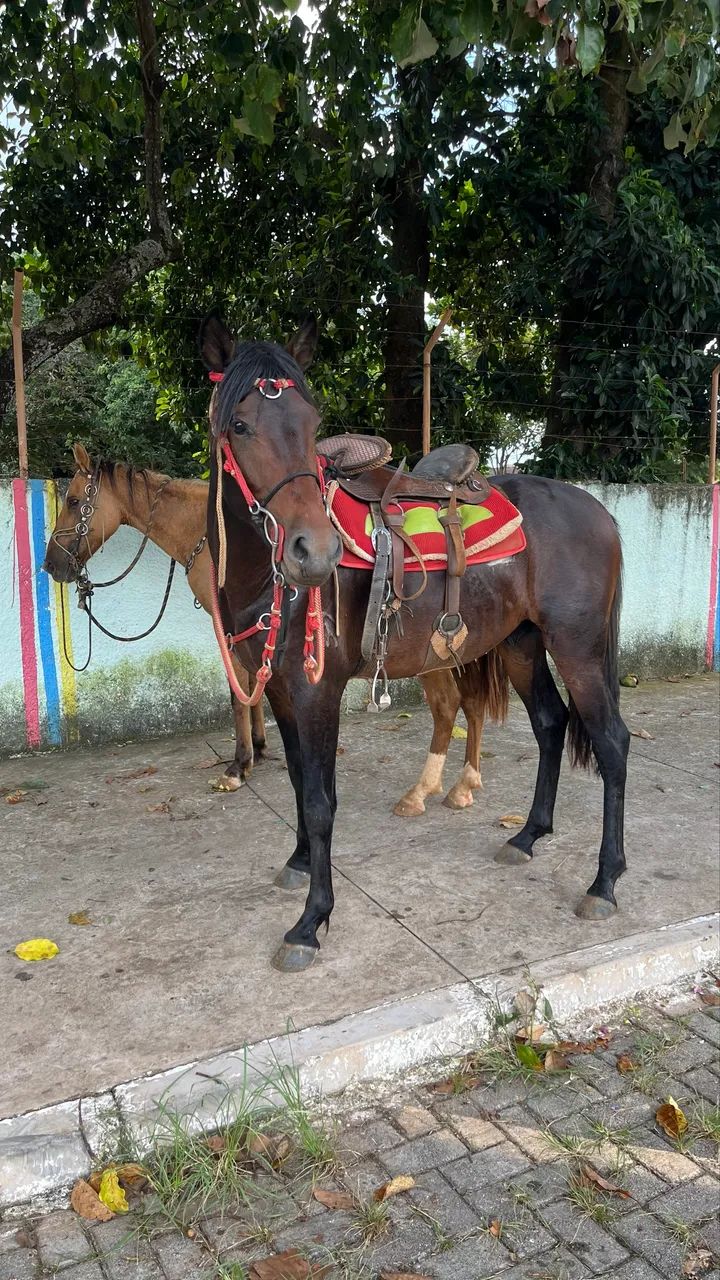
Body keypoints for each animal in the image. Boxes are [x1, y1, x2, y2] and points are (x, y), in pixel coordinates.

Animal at [42, 443, 267, 787]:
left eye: (74, 501)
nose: (50, 564)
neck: (208, 534)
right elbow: (252, 679)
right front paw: (257, 746)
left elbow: (237, 686)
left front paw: (239, 766)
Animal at [201, 312, 629, 974]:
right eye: (240, 425)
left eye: (313, 426)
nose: (313, 553)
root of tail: (601, 514)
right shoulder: (277, 689)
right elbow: (298, 779)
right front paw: (299, 863)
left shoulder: (317, 691)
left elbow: (320, 799)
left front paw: (310, 923)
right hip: (521, 645)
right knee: (550, 724)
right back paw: (527, 836)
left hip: (577, 649)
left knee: (612, 744)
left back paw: (603, 883)